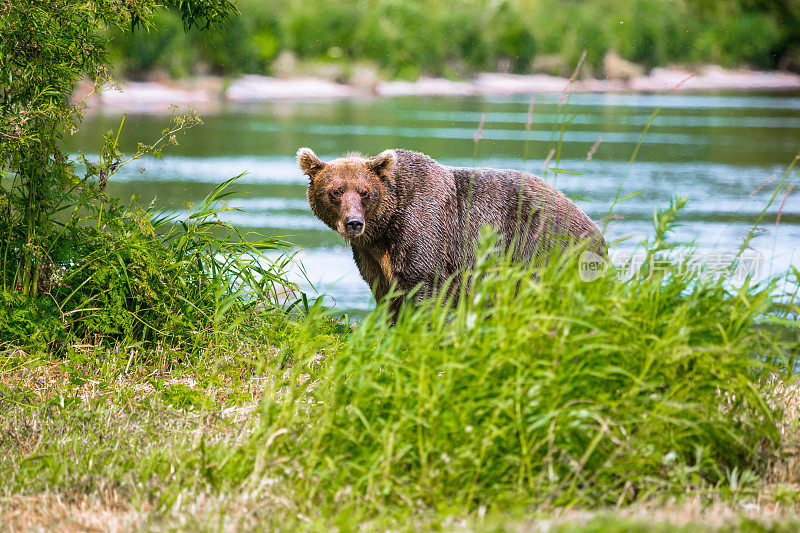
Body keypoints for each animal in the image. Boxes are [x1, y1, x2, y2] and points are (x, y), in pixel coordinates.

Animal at [296, 145, 604, 312]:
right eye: (336, 191)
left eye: (364, 192)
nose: (354, 223)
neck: (387, 224)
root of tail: (595, 229)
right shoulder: (373, 255)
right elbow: (385, 292)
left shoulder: (422, 228)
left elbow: (424, 286)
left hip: (543, 245)